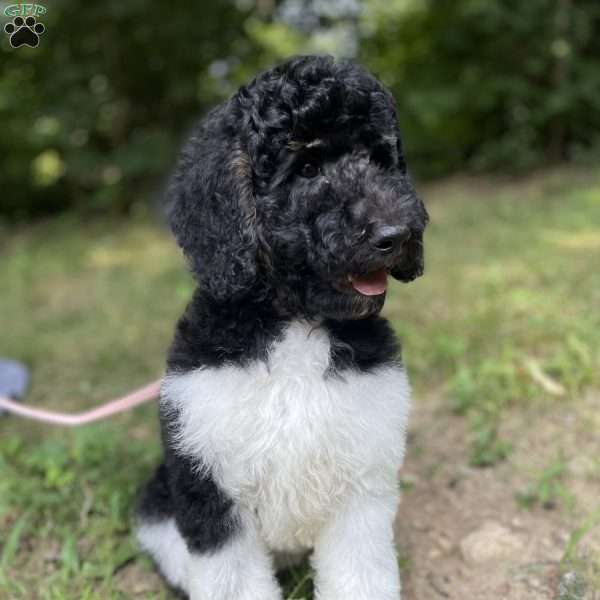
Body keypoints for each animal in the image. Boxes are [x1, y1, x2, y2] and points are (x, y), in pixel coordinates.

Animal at [137, 55, 426, 600]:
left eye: (379, 159)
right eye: (307, 167)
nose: (396, 234)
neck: (295, 325)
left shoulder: (361, 488)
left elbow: (360, 574)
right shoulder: (211, 487)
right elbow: (232, 580)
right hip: (158, 499)